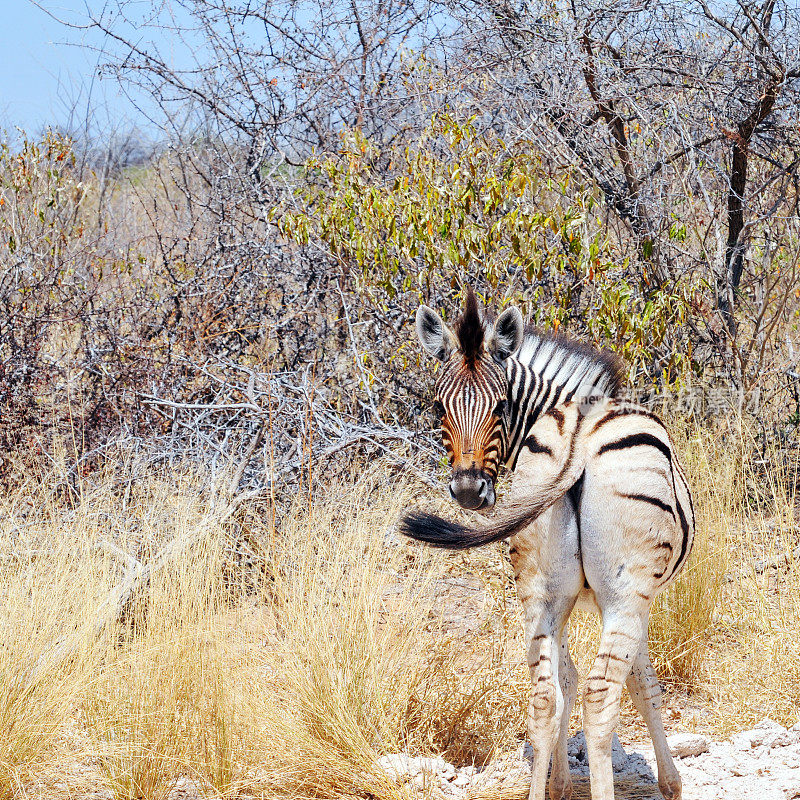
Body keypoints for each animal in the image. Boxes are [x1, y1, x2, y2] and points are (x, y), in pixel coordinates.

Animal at [400, 290, 692, 800]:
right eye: (439, 407)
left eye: (500, 407)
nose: (468, 492)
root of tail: (580, 435)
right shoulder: (634, 598)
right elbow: (642, 684)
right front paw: (670, 781)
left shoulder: (567, 597)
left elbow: (565, 680)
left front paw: (557, 782)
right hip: (624, 592)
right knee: (600, 696)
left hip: (541, 589)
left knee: (541, 695)